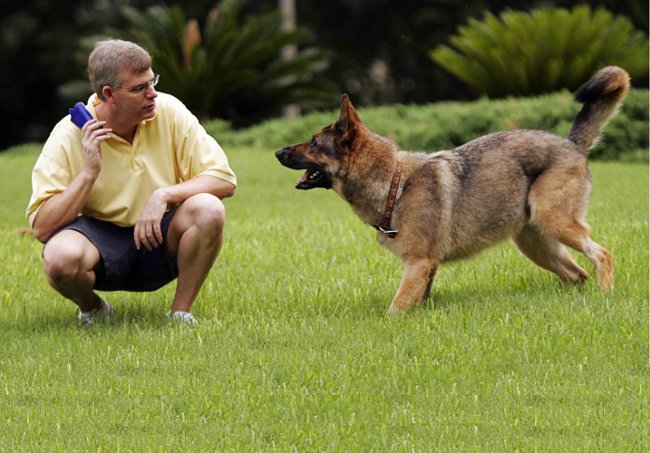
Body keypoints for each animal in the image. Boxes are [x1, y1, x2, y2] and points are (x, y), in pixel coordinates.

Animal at [274, 67, 628, 312]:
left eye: (313, 142)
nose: (277, 152)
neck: (394, 184)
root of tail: (572, 143)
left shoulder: (417, 265)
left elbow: (394, 310)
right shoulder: (425, 269)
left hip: (554, 221)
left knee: (601, 254)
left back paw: (605, 294)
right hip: (534, 242)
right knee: (576, 274)